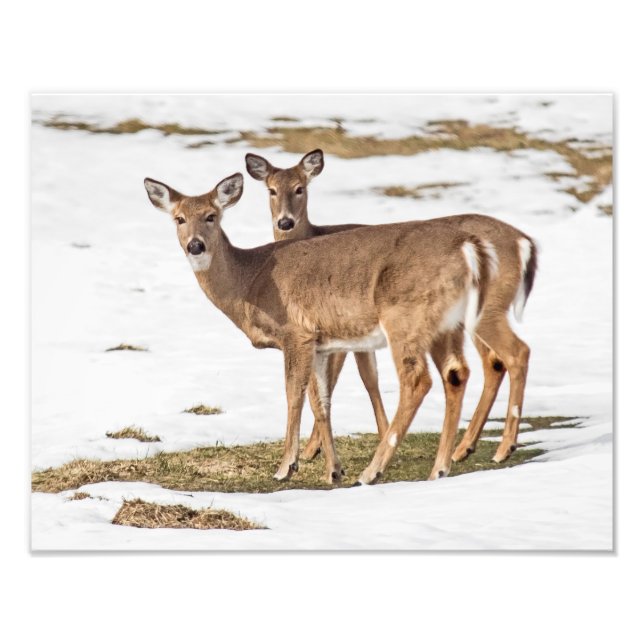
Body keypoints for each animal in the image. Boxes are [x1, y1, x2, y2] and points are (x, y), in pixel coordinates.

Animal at [143, 172, 497, 484]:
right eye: (179, 219)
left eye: (211, 216)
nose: (196, 246)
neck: (250, 282)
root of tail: (467, 250)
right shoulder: (320, 342)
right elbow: (321, 401)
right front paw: (333, 471)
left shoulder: (295, 333)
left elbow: (293, 395)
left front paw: (286, 467)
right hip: (447, 323)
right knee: (457, 372)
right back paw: (439, 468)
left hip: (406, 317)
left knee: (418, 380)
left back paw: (372, 472)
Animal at [245, 149, 538, 467]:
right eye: (271, 190)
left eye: (300, 188)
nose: (285, 222)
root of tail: (524, 241)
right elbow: (363, 377)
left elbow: (338, 379)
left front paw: (316, 449)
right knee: (492, 361)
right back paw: (465, 448)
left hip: (484, 309)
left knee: (510, 354)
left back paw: (499, 448)